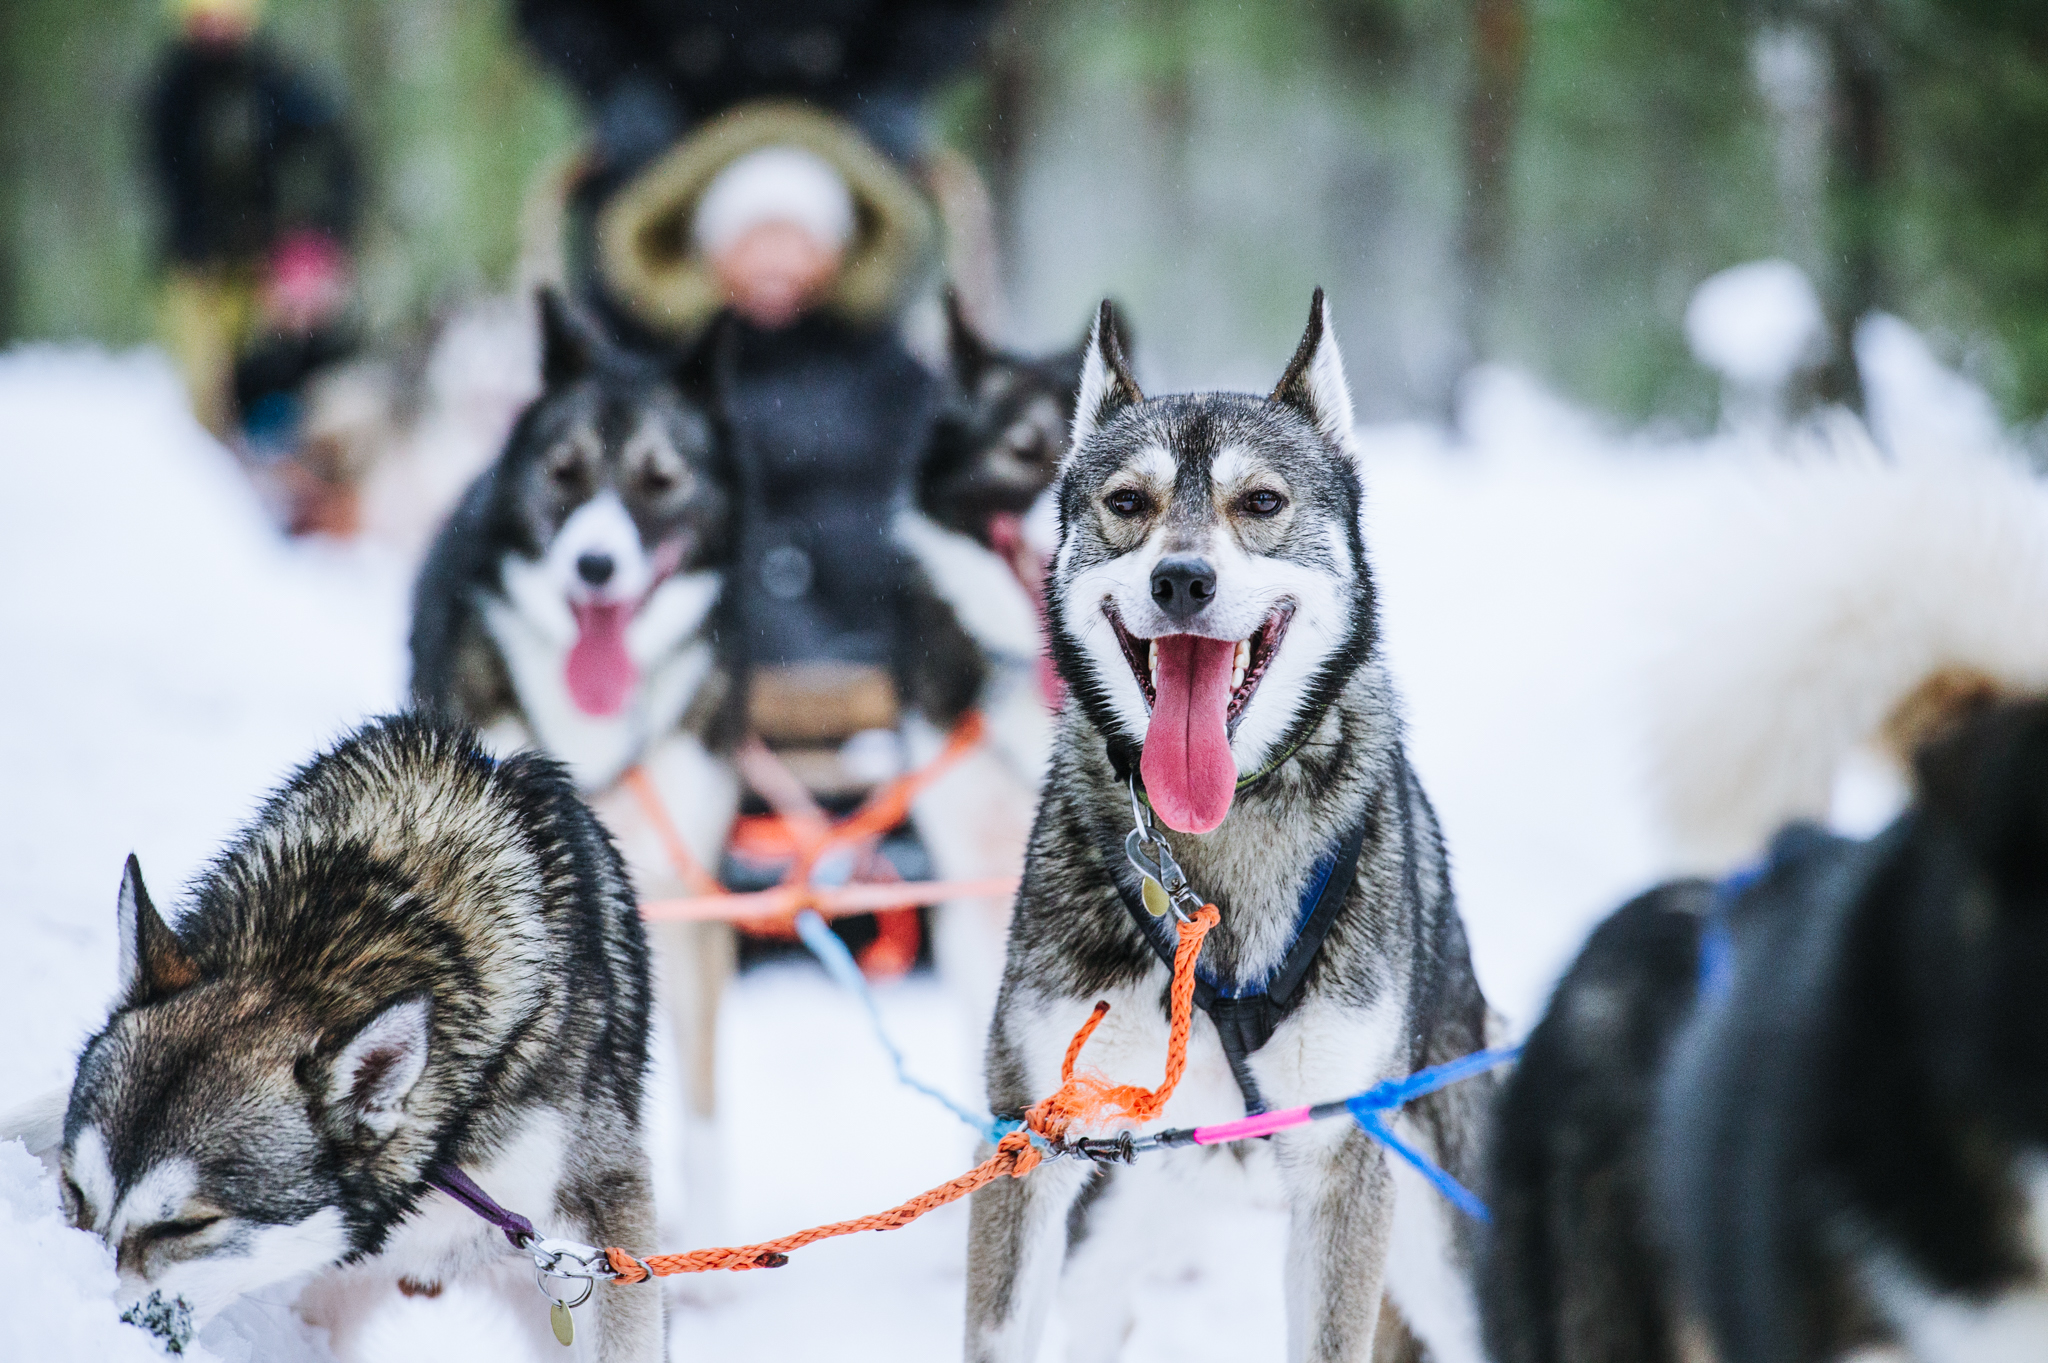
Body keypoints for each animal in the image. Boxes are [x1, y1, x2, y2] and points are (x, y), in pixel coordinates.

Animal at [966, 288, 1499, 1358]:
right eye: (1128, 502)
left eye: (1260, 503)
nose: (1181, 579)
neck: (1220, 833)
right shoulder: (1033, 1140)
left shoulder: (1343, 1163)